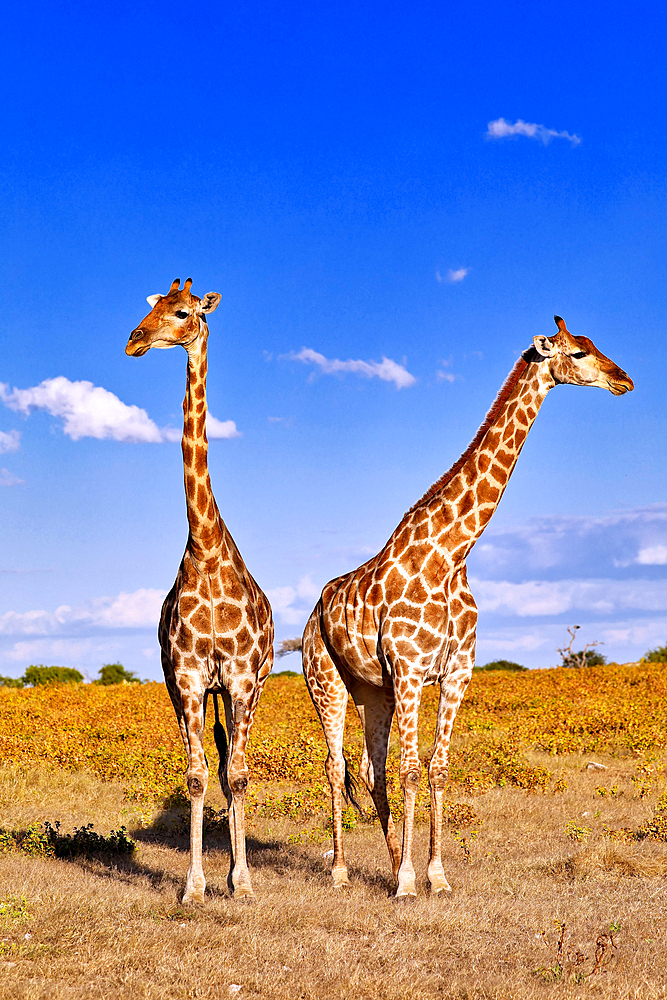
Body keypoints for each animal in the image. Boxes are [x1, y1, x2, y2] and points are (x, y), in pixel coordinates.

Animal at [306, 316, 636, 904]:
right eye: (577, 353)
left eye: (595, 344)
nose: (625, 380)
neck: (452, 553)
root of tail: (306, 619)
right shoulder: (412, 671)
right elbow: (413, 770)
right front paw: (408, 883)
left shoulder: (456, 672)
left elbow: (436, 768)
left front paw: (432, 876)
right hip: (328, 684)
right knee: (335, 765)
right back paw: (344, 871)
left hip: (373, 690)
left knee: (370, 770)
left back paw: (388, 861)